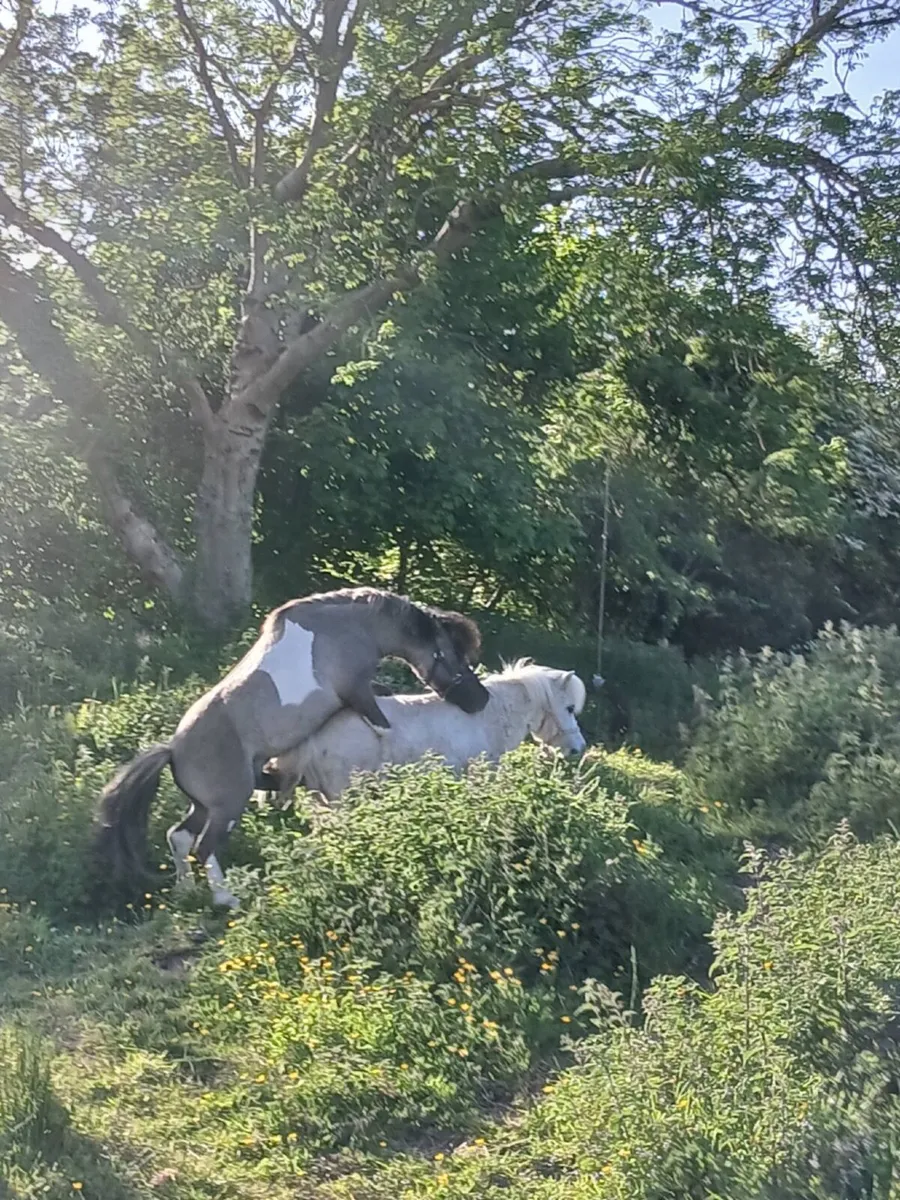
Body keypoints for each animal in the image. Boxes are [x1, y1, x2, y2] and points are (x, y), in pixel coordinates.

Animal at [94, 588, 490, 908]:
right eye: (452, 655)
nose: (481, 699)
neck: (351, 627)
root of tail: (173, 750)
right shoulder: (358, 692)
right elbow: (383, 723)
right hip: (227, 806)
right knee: (202, 847)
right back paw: (226, 899)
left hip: (205, 806)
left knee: (178, 838)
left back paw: (185, 890)